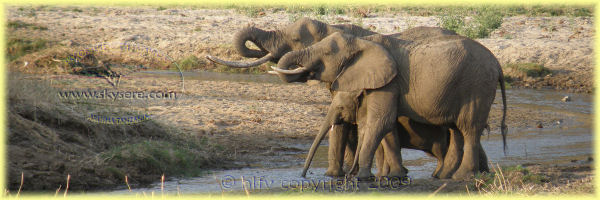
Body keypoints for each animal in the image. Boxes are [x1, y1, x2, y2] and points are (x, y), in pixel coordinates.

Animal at [272, 32, 506, 180]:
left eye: (327, 54)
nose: (303, 176)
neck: (363, 41)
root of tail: (497, 63)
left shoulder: (388, 82)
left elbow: (381, 122)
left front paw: (364, 178)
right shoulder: (380, 83)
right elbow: (387, 126)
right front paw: (393, 176)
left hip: (476, 87)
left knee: (469, 128)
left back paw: (462, 177)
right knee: (456, 129)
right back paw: (443, 176)